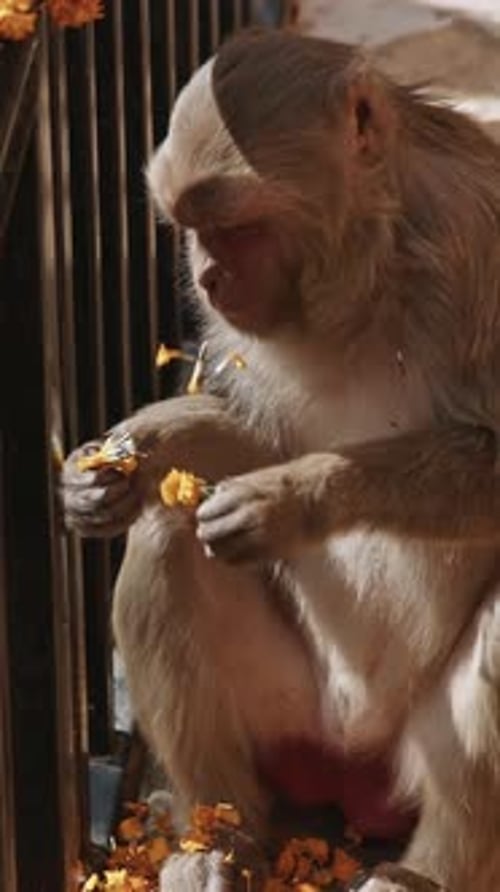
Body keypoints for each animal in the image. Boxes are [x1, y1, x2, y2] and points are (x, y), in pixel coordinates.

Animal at [62, 28, 500, 892]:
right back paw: (219, 838)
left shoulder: (479, 250)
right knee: (167, 536)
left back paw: (427, 870)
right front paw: (119, 463)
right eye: (189, 227)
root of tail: (353, 760)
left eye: (234, 228)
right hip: (291, 713)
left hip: (415, 746)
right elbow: (253, 432)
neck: (375, 271)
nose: (206, 276)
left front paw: (292, 500)